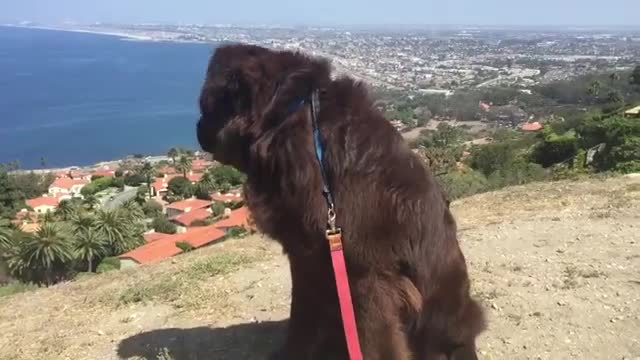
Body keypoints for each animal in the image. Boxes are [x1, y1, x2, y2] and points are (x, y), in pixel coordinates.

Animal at [195, 43, 484, 358]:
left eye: (206, 107)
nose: (197, 126)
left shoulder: (365, 274)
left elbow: (371, 337)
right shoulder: (306, 255)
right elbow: (302, 315)